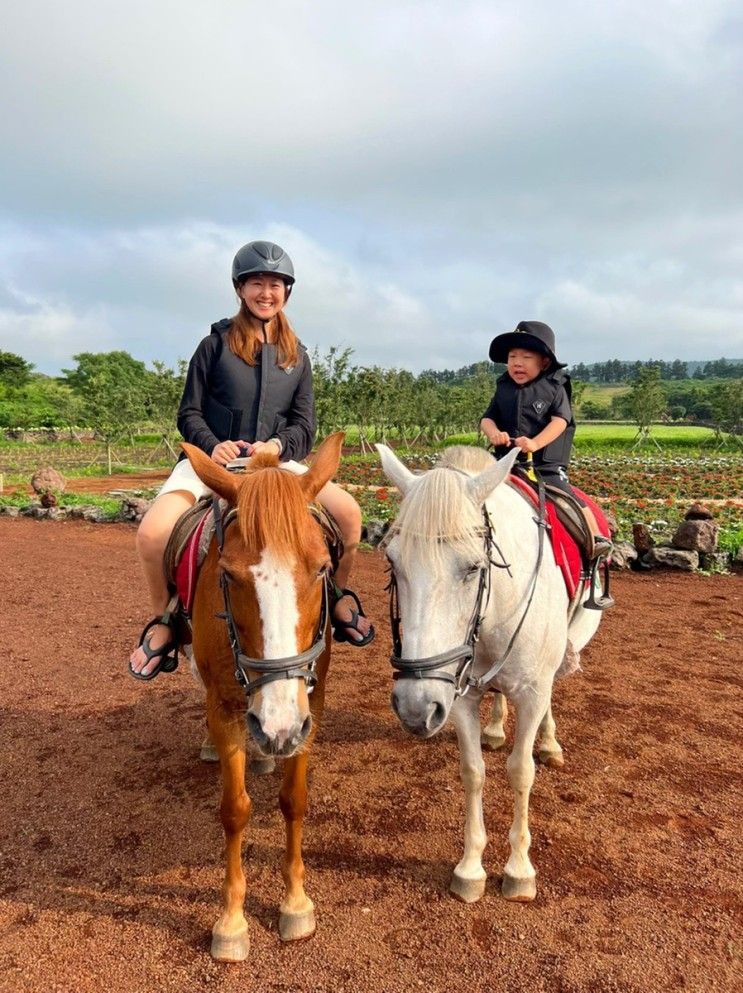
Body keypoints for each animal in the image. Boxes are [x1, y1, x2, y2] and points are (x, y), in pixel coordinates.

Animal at [182, 434, 344, 960]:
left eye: (322, 568)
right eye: (229, 575)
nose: (277, 728)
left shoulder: (311, 707)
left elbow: (294, 800)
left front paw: (295, 903)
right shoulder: (226, 708)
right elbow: (235, 810)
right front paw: (232, 922)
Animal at [378, 446, 604, 904]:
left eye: (472, 567)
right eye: (393, 563)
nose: (413, 706)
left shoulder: (532, 692)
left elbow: (520, 770)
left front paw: (519, 869)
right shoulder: (457, 697)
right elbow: (473, 771)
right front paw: (470, 867)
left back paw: (549, 743)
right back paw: (497, 727)